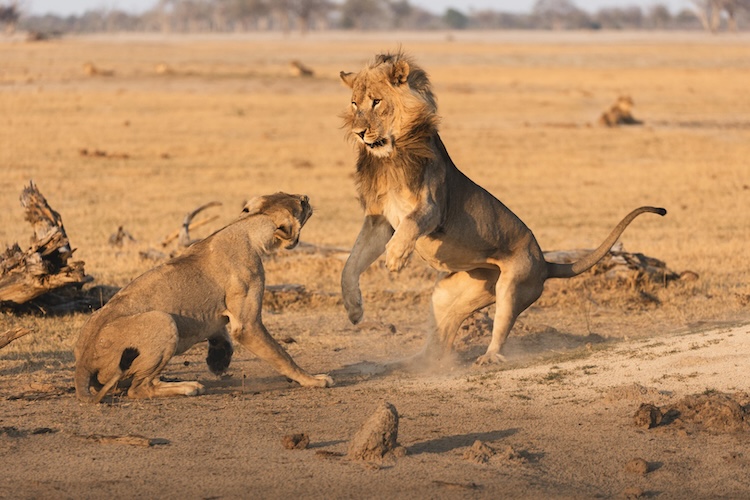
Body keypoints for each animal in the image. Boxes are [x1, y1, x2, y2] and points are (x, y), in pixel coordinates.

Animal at [74, 192, 333, 403]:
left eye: (286, 192)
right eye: (300, 204)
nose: (307, 196)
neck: (246, 227)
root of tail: (83, 363)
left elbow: (220, 331)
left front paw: (219, 360)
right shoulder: (247, 325)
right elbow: (282, 355)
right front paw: (313, 380)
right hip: (163, 320)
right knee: (137, 388)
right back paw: (188, 387)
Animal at [339, 51, 666, 365]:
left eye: (377, 102)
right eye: (354, 104)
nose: (359, 132)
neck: (389, 158)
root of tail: (545, 263)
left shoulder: (433, 207)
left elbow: (410, 224)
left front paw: (395, 258)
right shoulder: (379, 220)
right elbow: (351, 263)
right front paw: (354, 309)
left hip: (512, 285)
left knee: (500, 327)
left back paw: (489, 357)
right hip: (452, 292)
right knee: (436, 348)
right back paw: (398, 365)